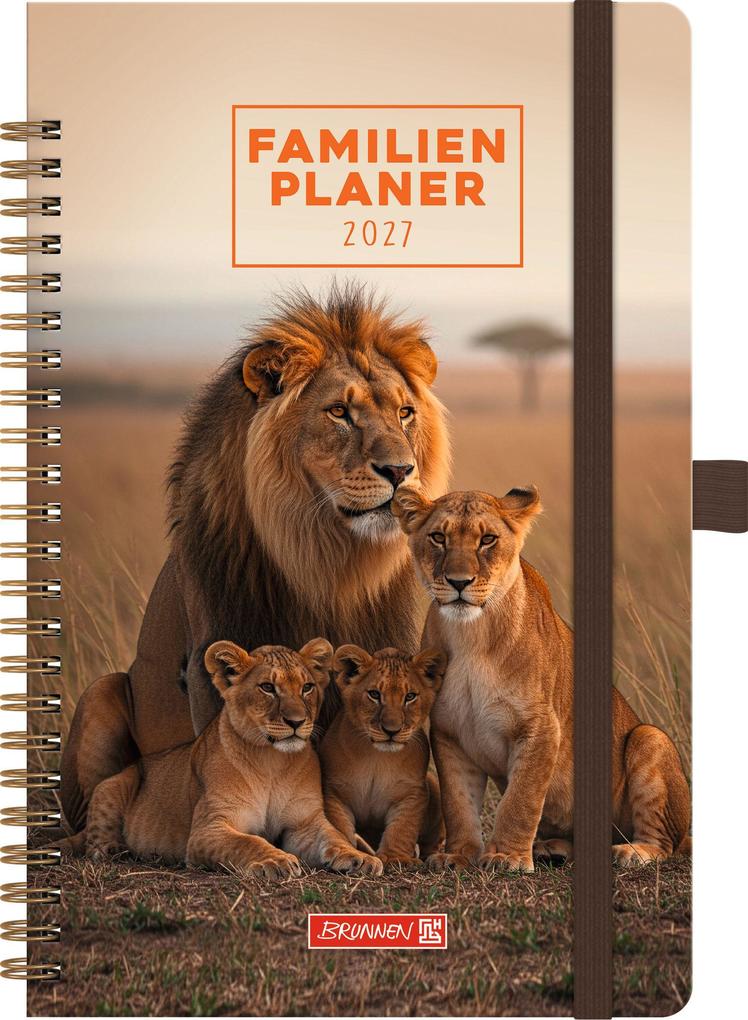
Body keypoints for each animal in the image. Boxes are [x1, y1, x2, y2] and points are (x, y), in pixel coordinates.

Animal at [61, 284, 450, 833]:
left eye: (405, 413)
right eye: (339, 412)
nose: (400, 470)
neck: (326, 560)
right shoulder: (216, 657)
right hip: (101, 690)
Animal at [70, 638, 383, 878]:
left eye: (307, 687)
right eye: (268, 687)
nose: (296, 722)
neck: (273, 762)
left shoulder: (304, 824)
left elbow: (333, 836)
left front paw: (360, 858)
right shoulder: (208, 829)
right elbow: (248, 842)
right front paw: (276, 860)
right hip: (113, 784)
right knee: (93, 837)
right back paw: (113, 850)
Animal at [320, 645, 447, 866]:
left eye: (410, 696)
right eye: (374, 694)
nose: (391, 730)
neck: (377, 758)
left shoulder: (411, 793)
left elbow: (402, 829)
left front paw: (396, 857)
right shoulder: (335, 793)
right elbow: (340, 828)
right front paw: (351, 854)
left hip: (435, 786)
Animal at [393, 486, 691, 871]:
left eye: (487, 539)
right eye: (438, 538)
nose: (459, 582)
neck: (471, 635)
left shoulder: (542, 727)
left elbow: (521, 799)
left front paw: (506, 857)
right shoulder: (449, 733)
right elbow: (458, 803)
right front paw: (457, 855)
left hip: (649, 738)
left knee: (665, 841)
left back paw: (631, 851)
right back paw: (552, 848)